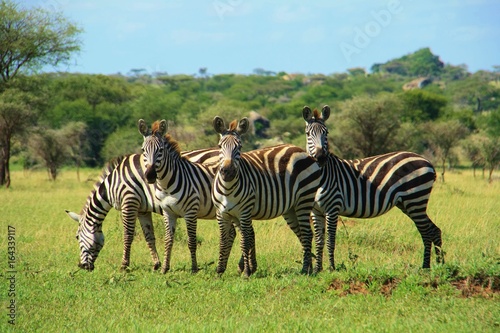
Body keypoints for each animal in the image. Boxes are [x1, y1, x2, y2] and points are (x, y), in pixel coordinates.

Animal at [66, 149, 219, 272]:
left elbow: (127, 235)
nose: (81, 266)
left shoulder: (129, 202)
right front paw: (156, 264)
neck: (113, 184)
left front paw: (124, 266)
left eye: (77, 237)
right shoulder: (142, 210)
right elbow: (149, 236)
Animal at [138, 118, 222, 274]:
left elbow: (192, 241)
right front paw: (164, 268)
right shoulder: (168, 212)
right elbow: (168, 240)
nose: (150, 176)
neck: (166, 185)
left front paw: (194, 268)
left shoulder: (191, 212)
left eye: (161, 150)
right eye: (143, 150)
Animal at [210, 115, 320, 276]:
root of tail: (299, 150)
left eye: (240, 147)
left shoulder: (244, 213)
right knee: (302, 233)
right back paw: (309, 268)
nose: (228, 172)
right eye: (219, 146)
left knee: (307, 233)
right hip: (291, 209)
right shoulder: (221, 214)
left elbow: (245, 241)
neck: (227, 189)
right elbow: (223, 241)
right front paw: (219, 271)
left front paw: (246, 272)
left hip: (304, 200)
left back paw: (305, 269)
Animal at [302, 105, 444, 272]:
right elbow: (319, 240)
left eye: (326, 132)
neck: (322, 175)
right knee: (433, 230)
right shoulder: (316, 211)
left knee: (427, 231)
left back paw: (427, 266)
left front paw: (331, 268)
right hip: (408, 204)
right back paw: (439, 265)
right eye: (308, 134)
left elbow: (331, 240)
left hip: (415, 200)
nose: (320, 158)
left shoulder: (333, 207)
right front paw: (318, 269)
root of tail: (427, 161)